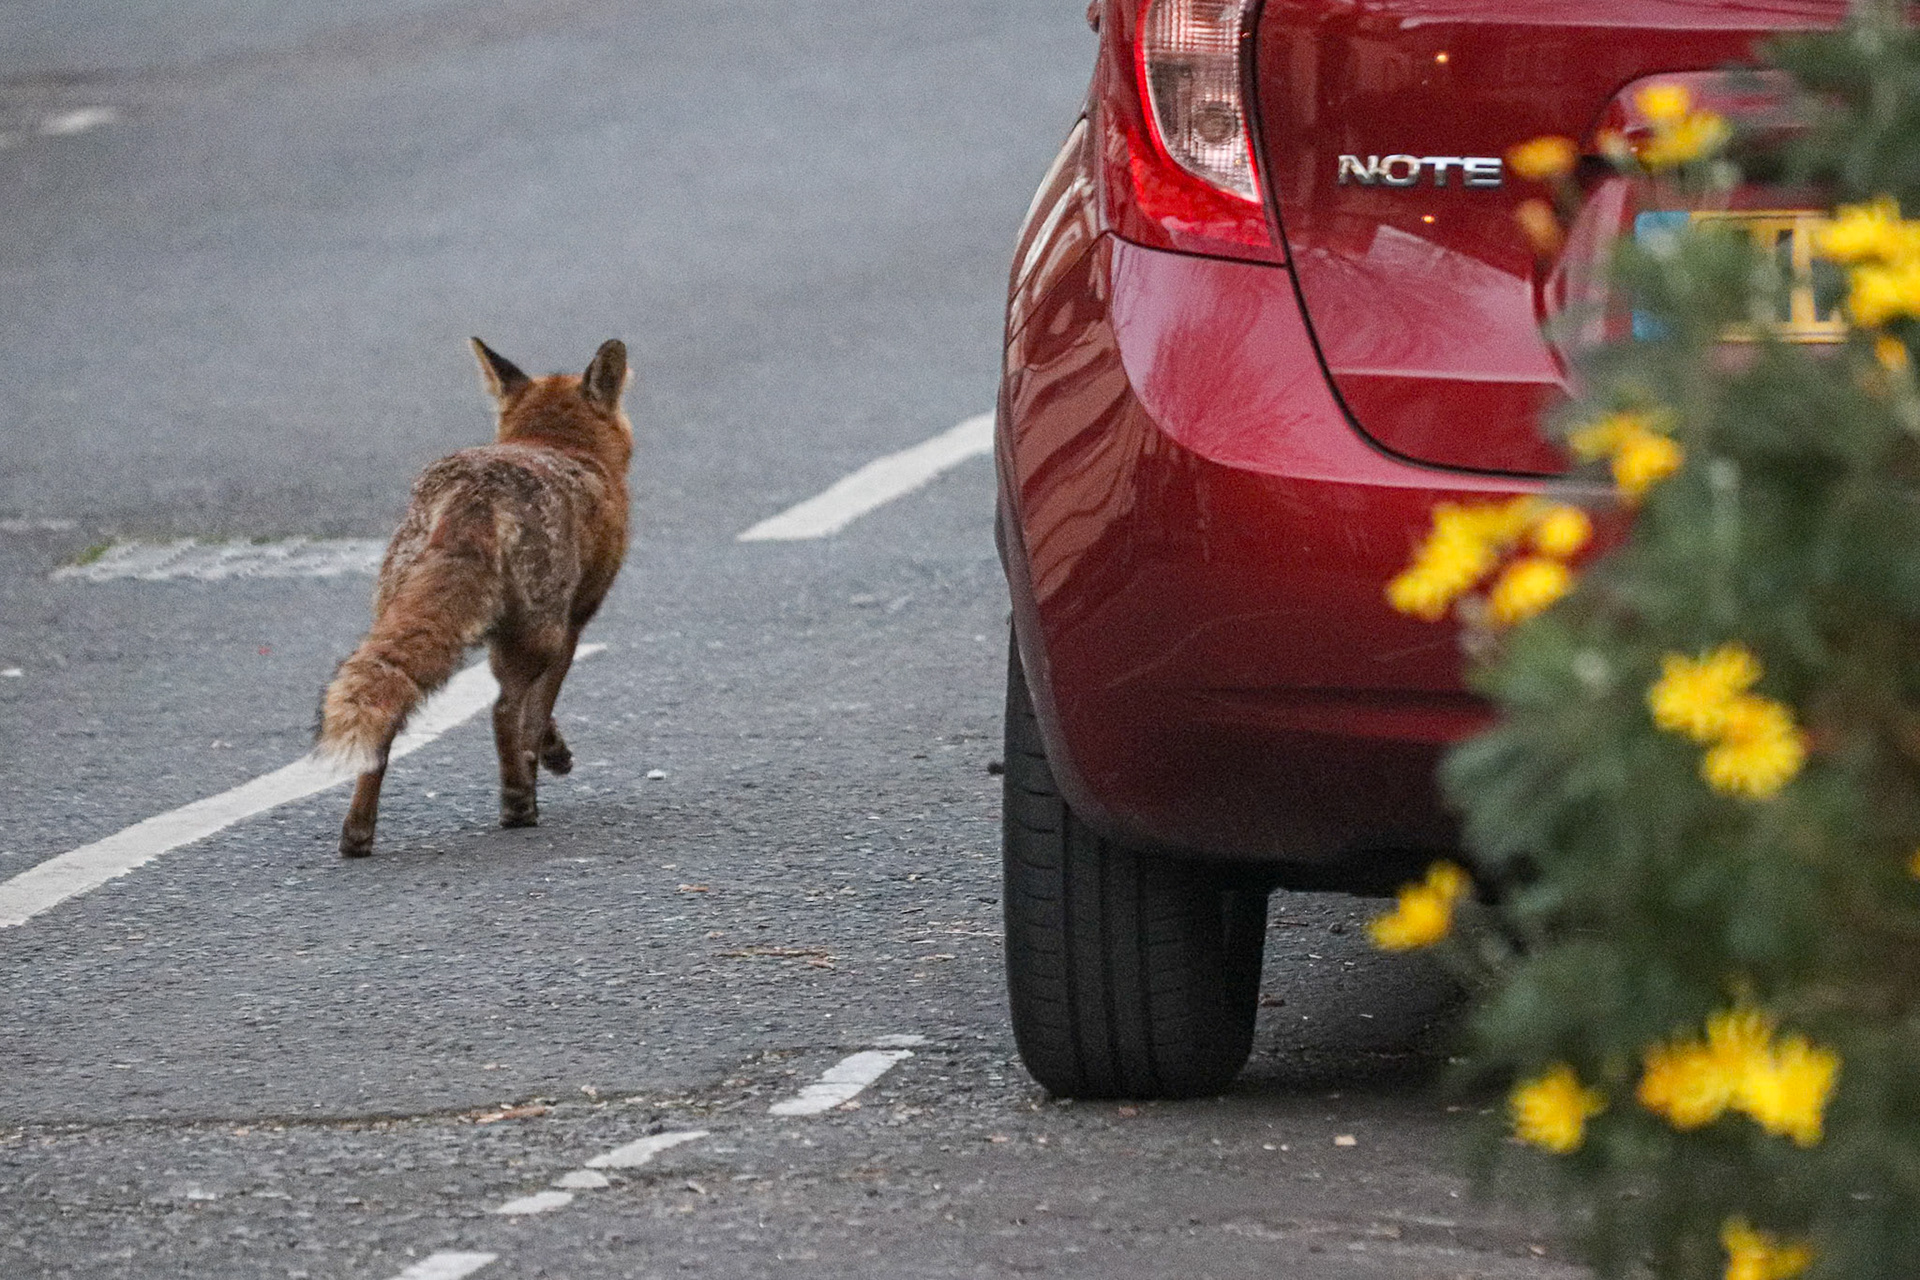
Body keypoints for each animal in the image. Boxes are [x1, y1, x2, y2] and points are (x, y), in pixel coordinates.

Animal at [314, 337, 633, 857]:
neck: (557, 444)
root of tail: (475, 491)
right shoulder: (573, 623)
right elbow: (536, 715)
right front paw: (544, 763)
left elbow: (539, 716)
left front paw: (552, 753)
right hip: (539, 632)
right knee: (502, 712)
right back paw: (517, 803)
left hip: (402, 614)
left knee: (385, 721)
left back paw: (357, 833)